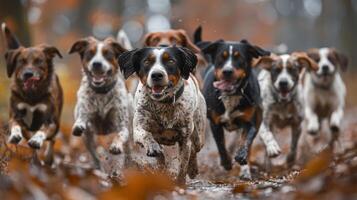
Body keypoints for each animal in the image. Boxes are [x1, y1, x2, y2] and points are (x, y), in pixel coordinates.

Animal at [1, 22, 63, 165]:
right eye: (21, 61)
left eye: (39, 61)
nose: (28, 74)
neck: (32, 97)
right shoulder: (16, 114)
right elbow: (15, 124)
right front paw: (15, 135)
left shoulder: (50, 119)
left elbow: (43, 129)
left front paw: (36, 140)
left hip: (57, 122)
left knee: (52, 140)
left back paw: (47, 158)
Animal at [69, 36, 130, 170]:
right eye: (90, 53)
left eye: (107, 54)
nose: (96, 64)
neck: (101, 92)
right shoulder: (86, 109)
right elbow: (82, 117)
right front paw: (79, 124)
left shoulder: (122, 124)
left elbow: (120, 134)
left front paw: (116, 145)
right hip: (88, 138)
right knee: (94, 154)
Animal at [118, 46, 206, 184]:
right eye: (146, 62)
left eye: (170, 61)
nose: (156, 75)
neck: (163, 104)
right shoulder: (138, 128)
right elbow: (146, 135)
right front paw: (152, 147)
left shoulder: (184, 139)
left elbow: (183, 165)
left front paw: (180, 183)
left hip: (198, 134)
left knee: (194, 149)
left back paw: (193, 169)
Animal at [202, 39, 268, 180]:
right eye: (221, 57)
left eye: (239, 58)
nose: (227, 71)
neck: (231, 95)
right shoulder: (215, 122)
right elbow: (221, 144)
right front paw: (226, 162)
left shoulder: (251, 121)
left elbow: (246, 139)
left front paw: (241, 155)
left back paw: (245, 170)